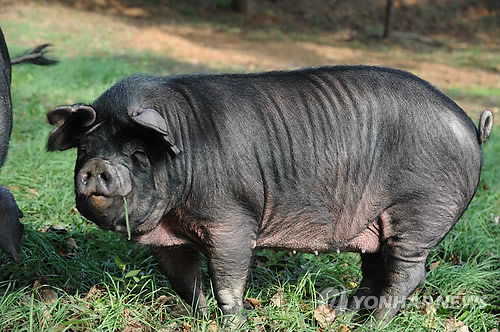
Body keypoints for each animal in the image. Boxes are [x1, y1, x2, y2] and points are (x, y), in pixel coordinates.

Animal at [46, 67, 492, 324]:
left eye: (138, 154)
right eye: (84, 149)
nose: (97, 167)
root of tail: (471, 128)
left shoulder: (232, 219)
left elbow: (228, 280)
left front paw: (233, 322)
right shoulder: (169, 237)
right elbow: (184, 279)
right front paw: (198, 318)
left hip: (421, 209)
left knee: (409, 271)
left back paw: (374, 324)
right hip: (374, 219)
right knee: (375, 265)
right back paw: (344, 313)